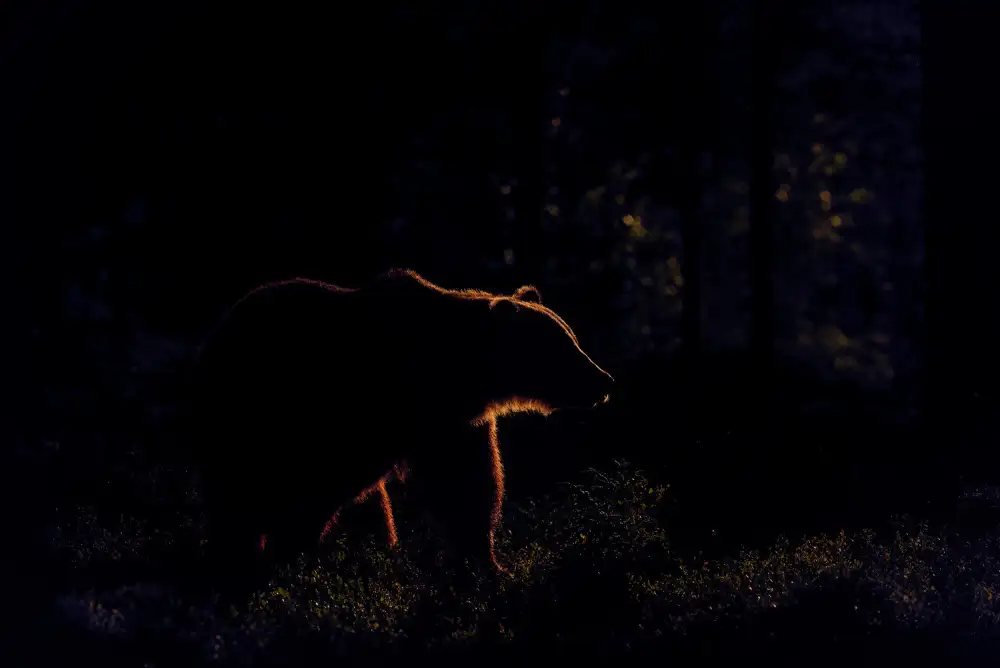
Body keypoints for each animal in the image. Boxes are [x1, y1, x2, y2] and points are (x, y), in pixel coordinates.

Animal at [189, 268, 613, 597]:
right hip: (246, 415)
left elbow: (471, 489)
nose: (604, 380)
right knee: (241, 497)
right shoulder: (371, 414)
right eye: (564, 347)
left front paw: (488, 566)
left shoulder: (457, 424)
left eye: (572, 337)